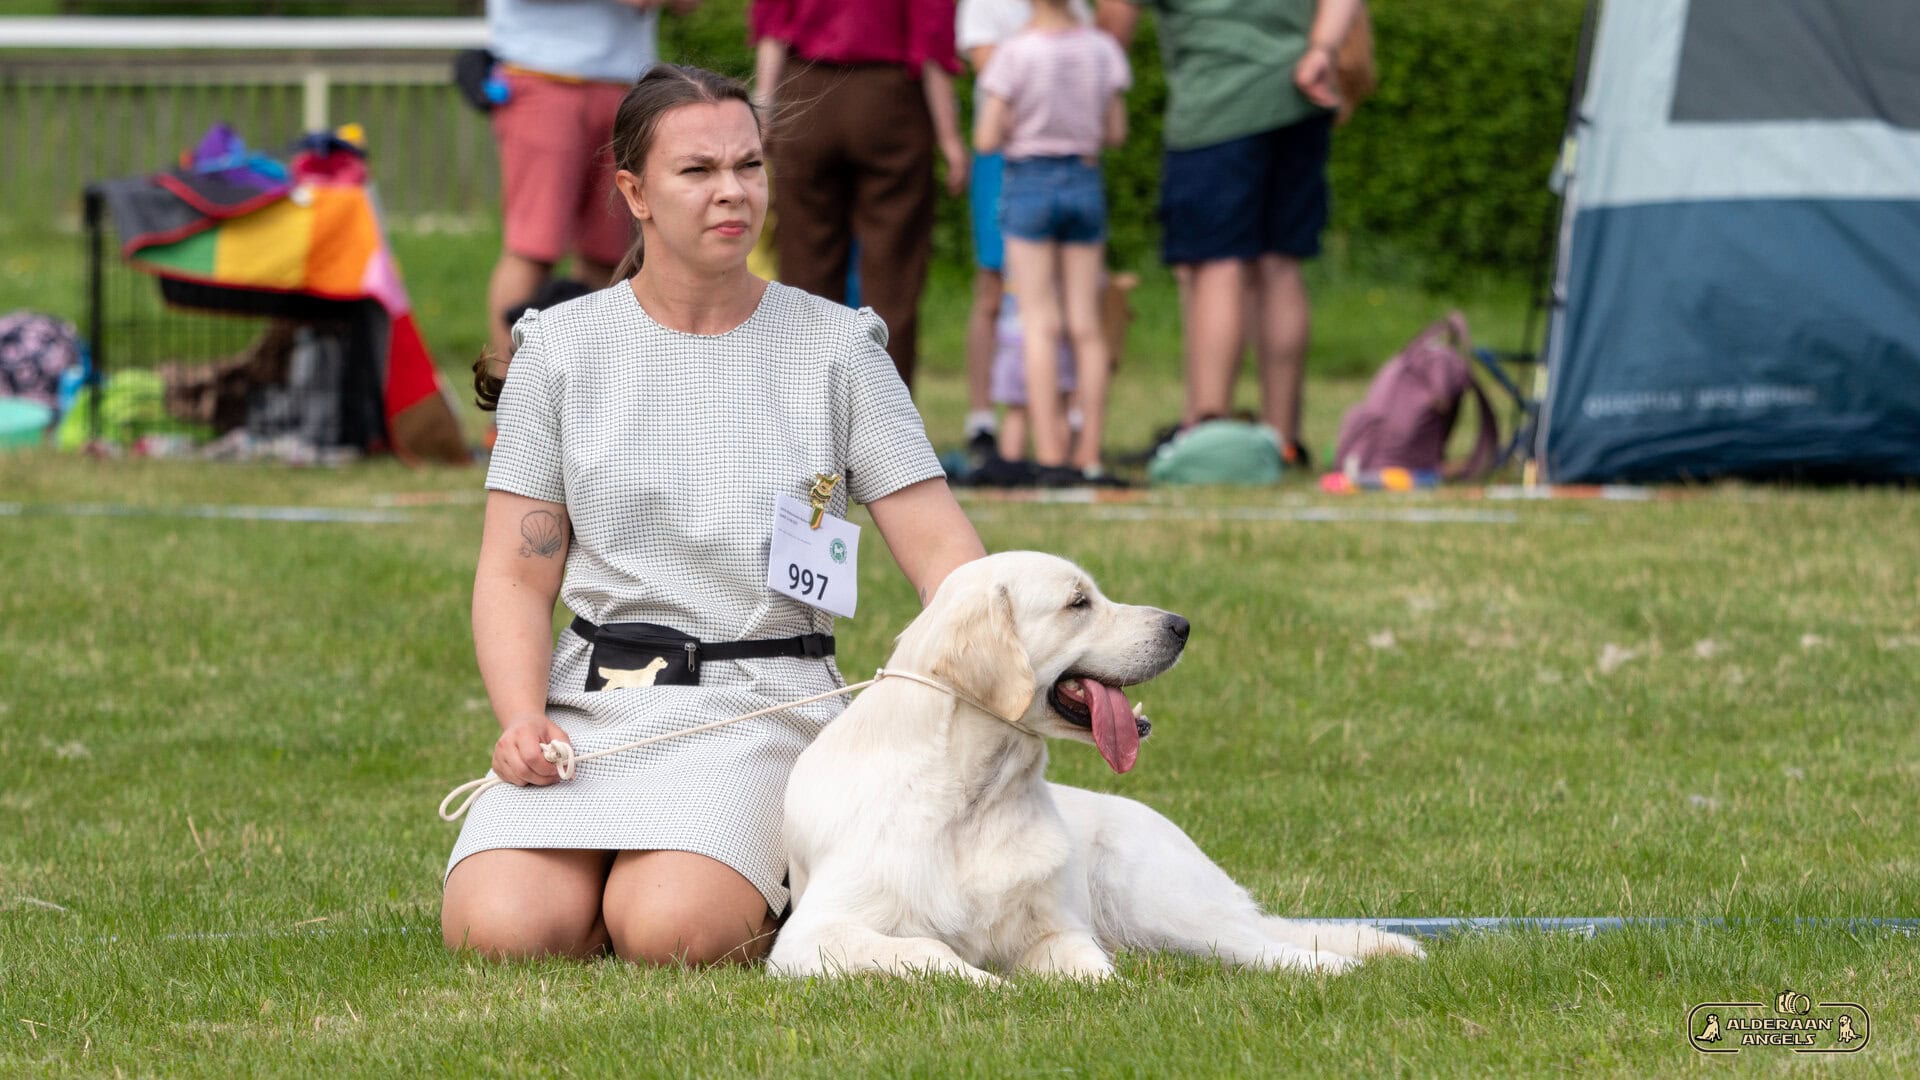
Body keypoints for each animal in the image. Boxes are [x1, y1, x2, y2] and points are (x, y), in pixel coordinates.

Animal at [767, 551, 1424, 981]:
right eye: (1078, 603)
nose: (1182, 626)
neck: (974, 795)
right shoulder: (814, 934)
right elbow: (927, 953)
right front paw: (988, 985)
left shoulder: (1057, 929)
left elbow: (1091, 970)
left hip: (1158, 900)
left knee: (1257, 943)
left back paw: (1337, 964)